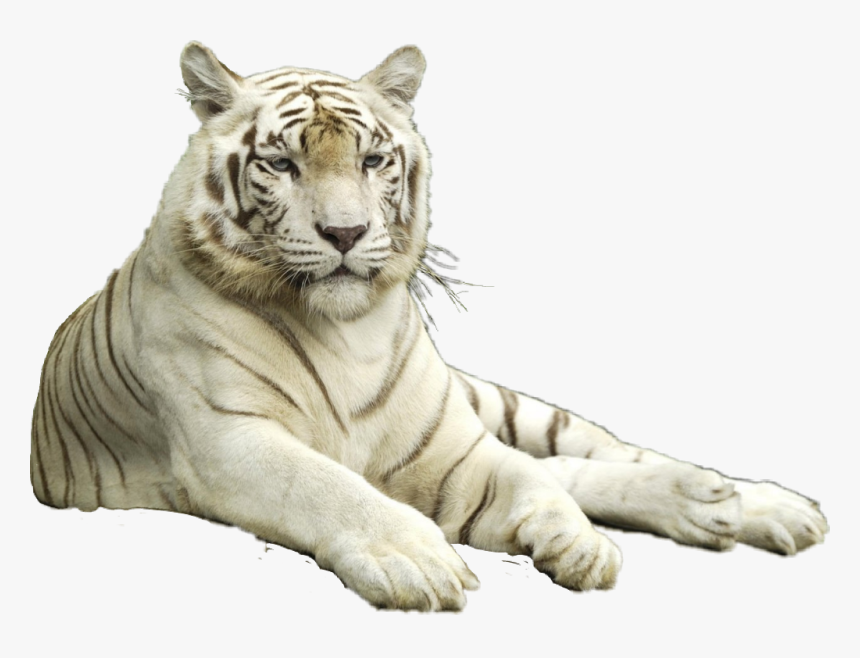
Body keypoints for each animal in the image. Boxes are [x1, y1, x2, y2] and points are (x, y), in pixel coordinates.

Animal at [31, 42, 828, 611]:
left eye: (373, 159)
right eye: (282, 164)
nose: (345, 233)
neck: (345, 332)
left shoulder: (451, 450)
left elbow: (530, 479)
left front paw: (580, 546)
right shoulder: (230, 440)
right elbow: (325, 485)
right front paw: (416, 560)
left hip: (501, 405)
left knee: (587, 454)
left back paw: (746, 502)